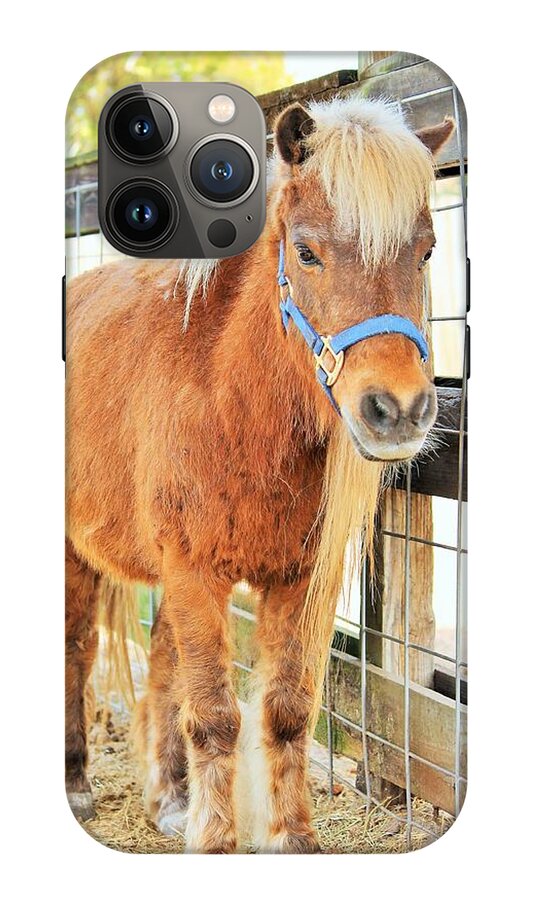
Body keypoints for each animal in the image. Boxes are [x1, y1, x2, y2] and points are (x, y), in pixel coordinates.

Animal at [65, 94, 454, 853]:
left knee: (162, 663)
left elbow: (285, 710)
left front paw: (290, 839)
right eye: (305, 251)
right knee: (76, 650)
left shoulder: (298, 580)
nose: (397, 410)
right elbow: (216, 716)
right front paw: (217, 842)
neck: (231, 398)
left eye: (425, 251)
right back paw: (76, 784)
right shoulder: (194, 570)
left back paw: (169, 798)